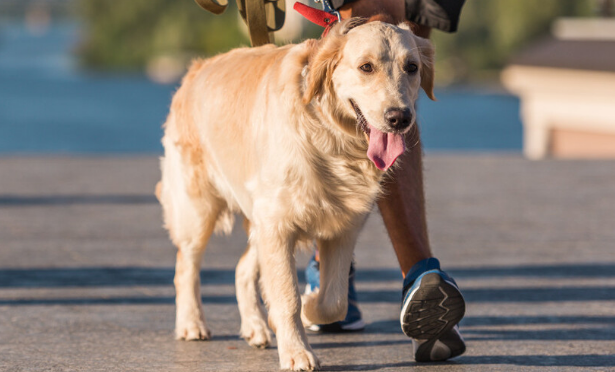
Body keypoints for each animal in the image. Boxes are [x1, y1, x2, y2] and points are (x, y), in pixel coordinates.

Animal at [158, 16, 438, 370]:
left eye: (412, 67)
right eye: (366, 67)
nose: (399, 117)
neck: (334, 138)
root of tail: (196, 68)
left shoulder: (342, 227)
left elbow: (334, 301)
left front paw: (308, 310)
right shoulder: (277, 224)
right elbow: (287, 295)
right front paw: (296, 351)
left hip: (257, 218)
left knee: (242, 269)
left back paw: (255, 326)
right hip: (199, 209)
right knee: (186, 266)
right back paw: (192, 323)